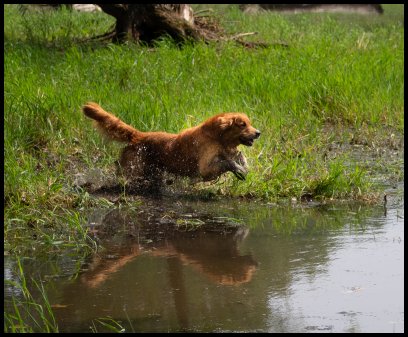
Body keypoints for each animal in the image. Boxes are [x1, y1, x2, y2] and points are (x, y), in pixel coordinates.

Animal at [83, 102, 262, 190]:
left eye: (249, 123)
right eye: (242, 124)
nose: (258, 133)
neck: (216, 137)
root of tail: (138, 136)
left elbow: (238, 156)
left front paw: (243, 167)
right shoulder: (205, 167)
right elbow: (227, 162)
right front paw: (239, 169)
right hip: (135, 167)